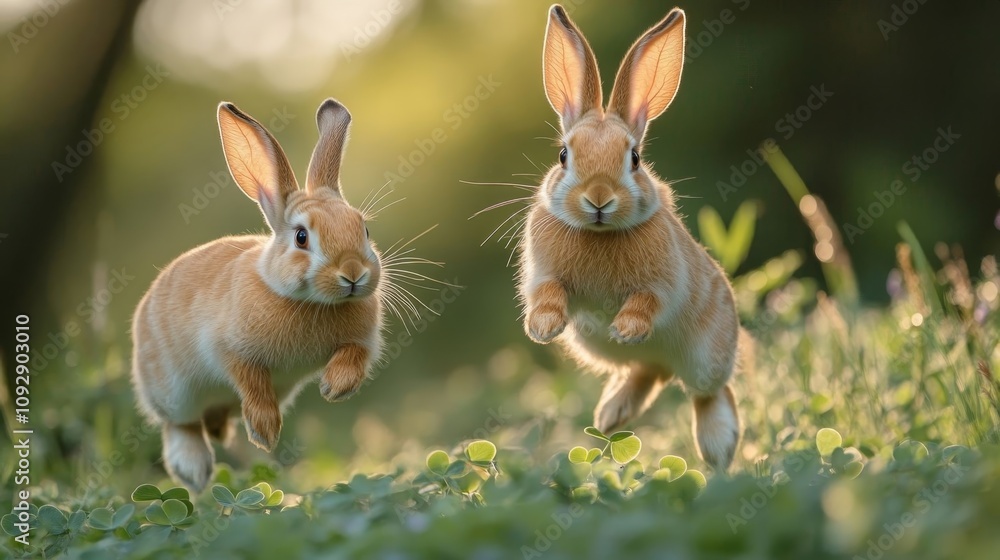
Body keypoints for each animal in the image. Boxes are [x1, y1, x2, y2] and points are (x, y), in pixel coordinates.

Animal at [131, 99, 384, 492]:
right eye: (301, 237)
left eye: (365, 229)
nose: (354, 274)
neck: (312, 302)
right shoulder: (229, 351)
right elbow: (251, 382)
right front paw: (265, 432)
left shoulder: (361, 343)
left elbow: (353, 356)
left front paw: (333, 388)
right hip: (173, 392)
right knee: (181, 425)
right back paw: (195, 471)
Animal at [517, 5, 745, 470]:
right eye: (563, 155)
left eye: (635, 158)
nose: (598, 198)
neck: (598, 233)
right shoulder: (543, 275)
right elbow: (548, 292)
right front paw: (544, 327)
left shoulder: (665, 284)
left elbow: (647, 301)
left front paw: (624, 326)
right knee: (649, 370)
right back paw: (609, 416)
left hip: (706, 359)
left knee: (709, 392)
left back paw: (718, 449)